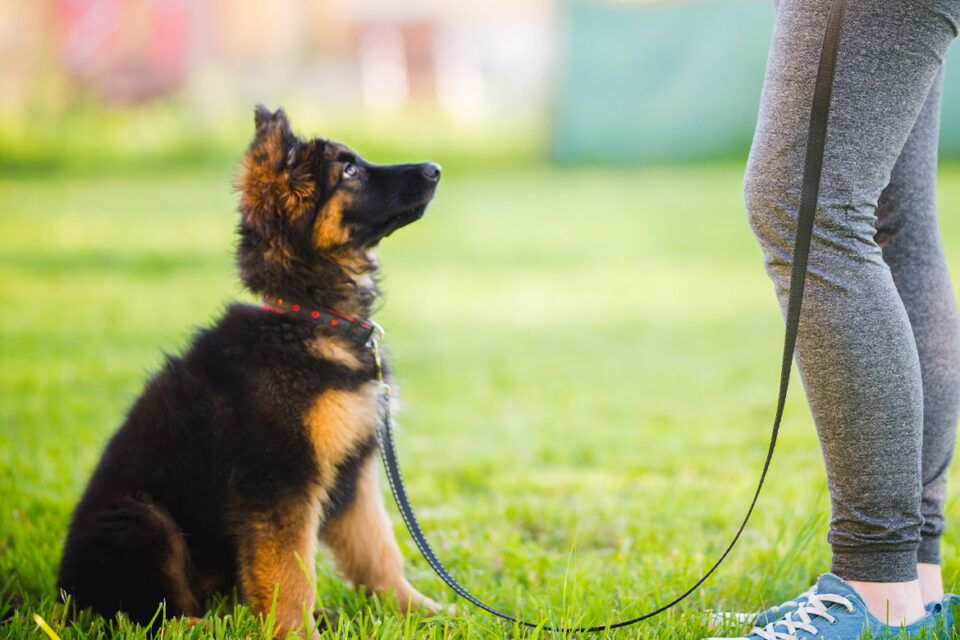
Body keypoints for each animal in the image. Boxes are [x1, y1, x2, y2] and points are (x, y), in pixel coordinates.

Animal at [59, 105, 446, 636]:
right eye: (348, 171)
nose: (435, 169)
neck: (308, 318)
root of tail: (63, 597)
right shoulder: (278, 478)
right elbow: (291, 574)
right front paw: (296, 633)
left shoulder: (356, 471)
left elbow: (379, 549)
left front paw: (416, 608)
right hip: (143, 520)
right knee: (155, 615)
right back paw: (211, 627)